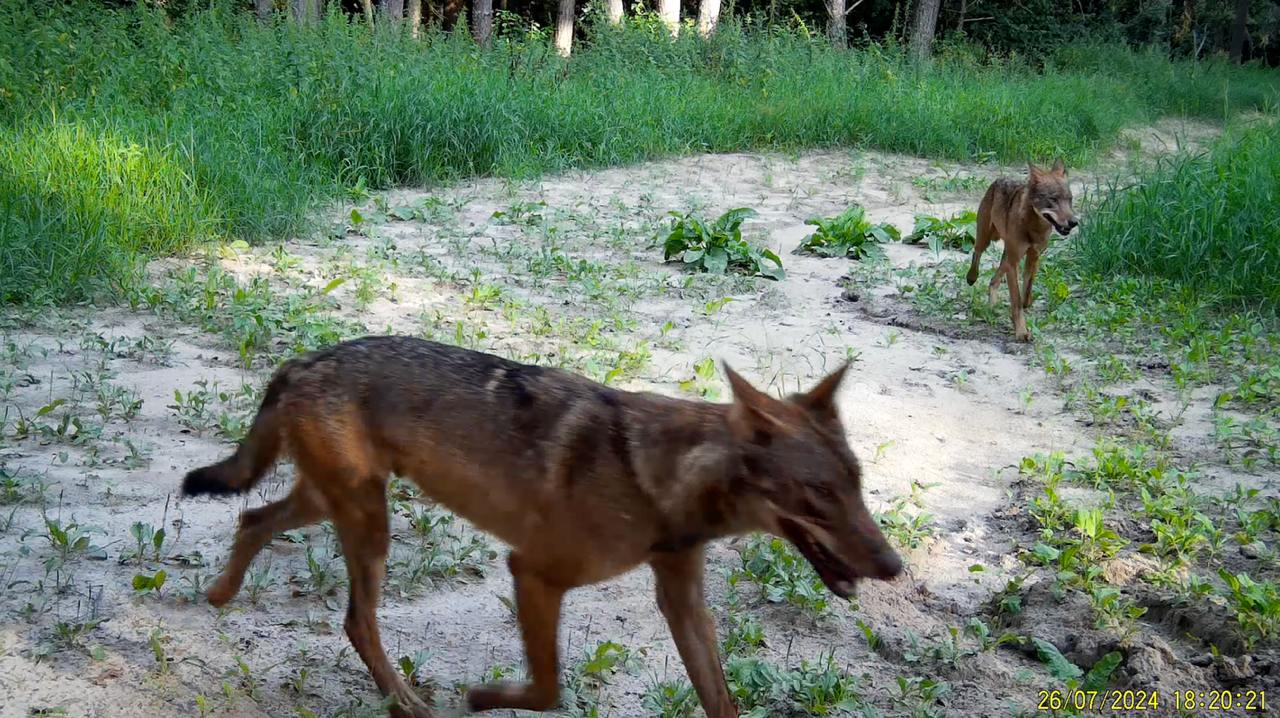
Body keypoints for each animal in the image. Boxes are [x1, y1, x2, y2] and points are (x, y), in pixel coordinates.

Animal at [180, 335, 906, 716]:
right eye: (820, 495)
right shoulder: (531, 573)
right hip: (367, 521)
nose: (895, 568)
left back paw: (218, 595)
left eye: (858, 486)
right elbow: (550, 689)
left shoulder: (684, 600)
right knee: (357, 621)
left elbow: (722, 701)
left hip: (335, 504)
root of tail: (301, 361)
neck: (659, 481)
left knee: (251, 516)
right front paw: (480, 696)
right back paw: (409, 703)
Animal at [967, 161, 1080, 340]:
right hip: (986, 239)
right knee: (976, 254)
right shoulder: (1014, 263)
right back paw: (971, 278)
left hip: (1007, 254)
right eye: (1053, 199)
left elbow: (1026, 291)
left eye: (1069, 200)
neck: (1033, 228)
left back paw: (992, 305)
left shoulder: (1034, 256)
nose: (1074, 222)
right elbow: (1017, 300)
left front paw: (1024, 308)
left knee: (994, 280)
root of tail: (1000, 178)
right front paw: (1021, 331)